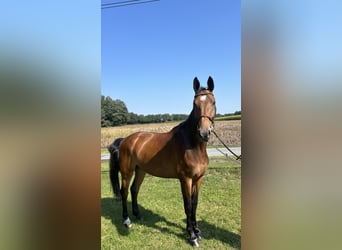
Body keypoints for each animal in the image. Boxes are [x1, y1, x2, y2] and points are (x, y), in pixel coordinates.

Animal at [110, 76, 216, 248]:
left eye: (213, 102)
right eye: (195, 104)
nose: (204, 132)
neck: (193, 145)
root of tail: (125, 140)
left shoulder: (198, 179)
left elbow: (195, 204)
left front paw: (197, 231)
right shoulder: (185, 179)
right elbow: (187, 205)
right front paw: (192, 236)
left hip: (141, 170)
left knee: (134, 190)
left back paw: (138, 215)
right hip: (127, 172)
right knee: (124, 191)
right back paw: (126, 220)